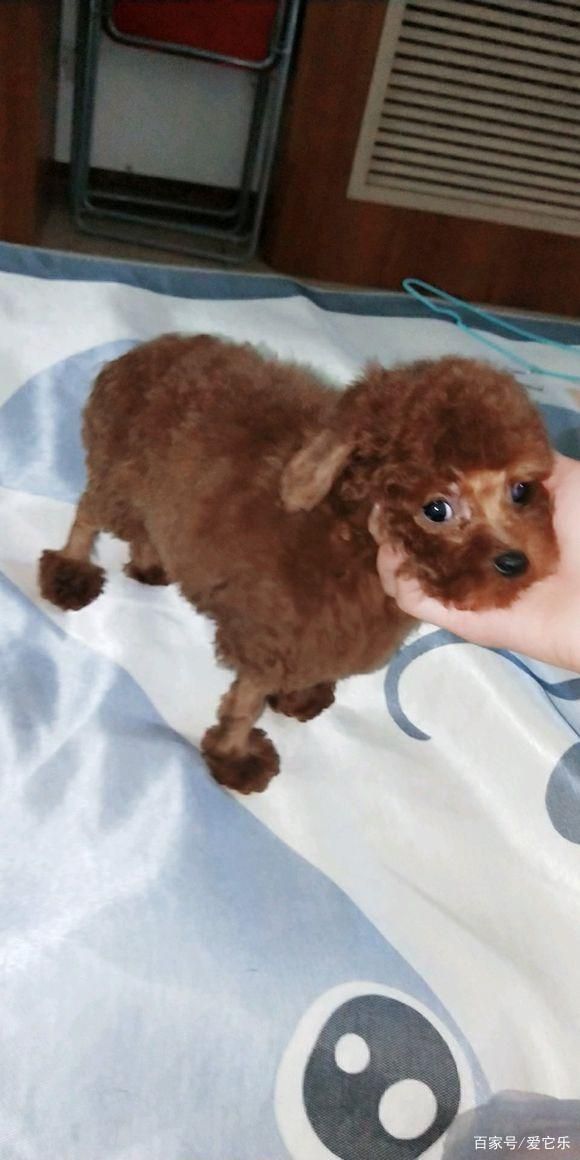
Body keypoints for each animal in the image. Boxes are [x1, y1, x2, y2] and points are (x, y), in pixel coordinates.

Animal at [38, 336, 558, 793]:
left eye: (521, 490)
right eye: (436, 509)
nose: (515, 562)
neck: (349, 535)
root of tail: (137, 356)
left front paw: (300, 697)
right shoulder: (273, 638)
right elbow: (245, 706)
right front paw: (235, 756)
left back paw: (151, 563)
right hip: (119, 477)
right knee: (87, 516)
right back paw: (70, 572)